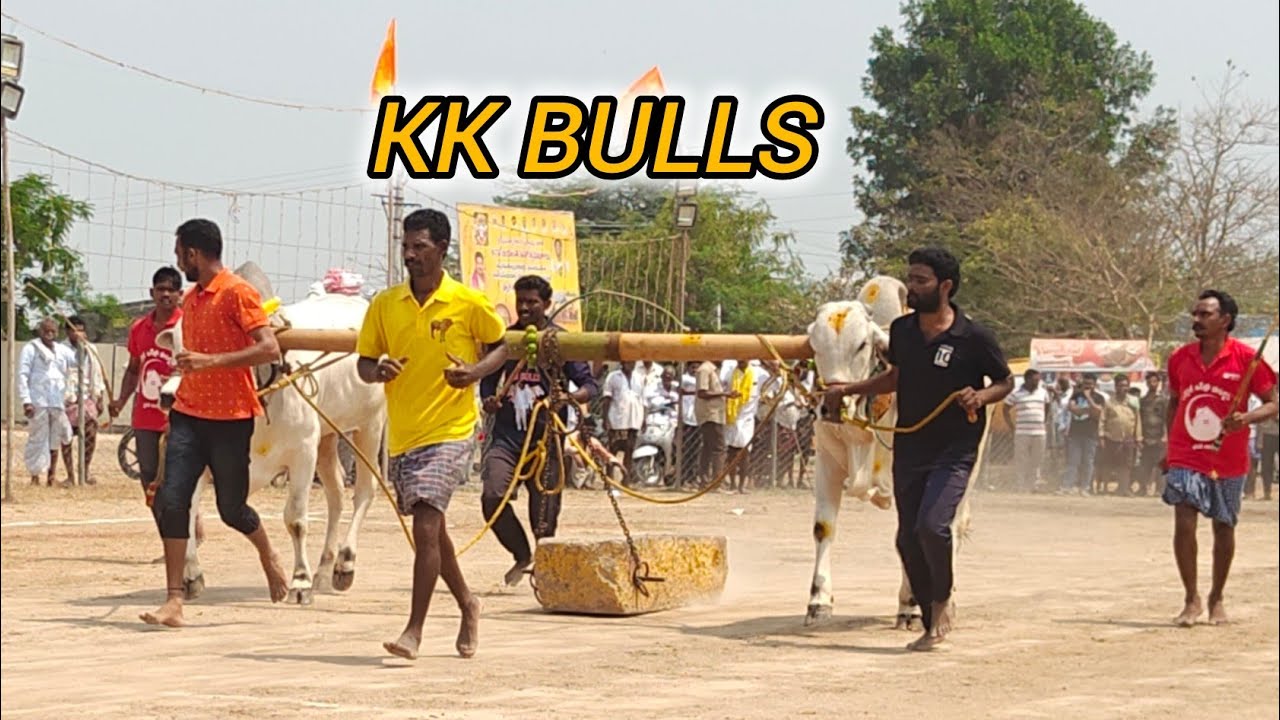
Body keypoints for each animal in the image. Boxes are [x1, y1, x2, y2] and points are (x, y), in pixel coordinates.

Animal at [157, 264, 387, 605]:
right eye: (174, 345)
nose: (169, 397)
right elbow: (186, 511)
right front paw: (190, 576)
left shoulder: (303, 453)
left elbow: (296, 519)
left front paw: (300, 581)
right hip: (328, 436)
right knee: (336, 495)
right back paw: (324, 570)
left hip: (369, 426)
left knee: (364, 493)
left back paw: (344, 564)